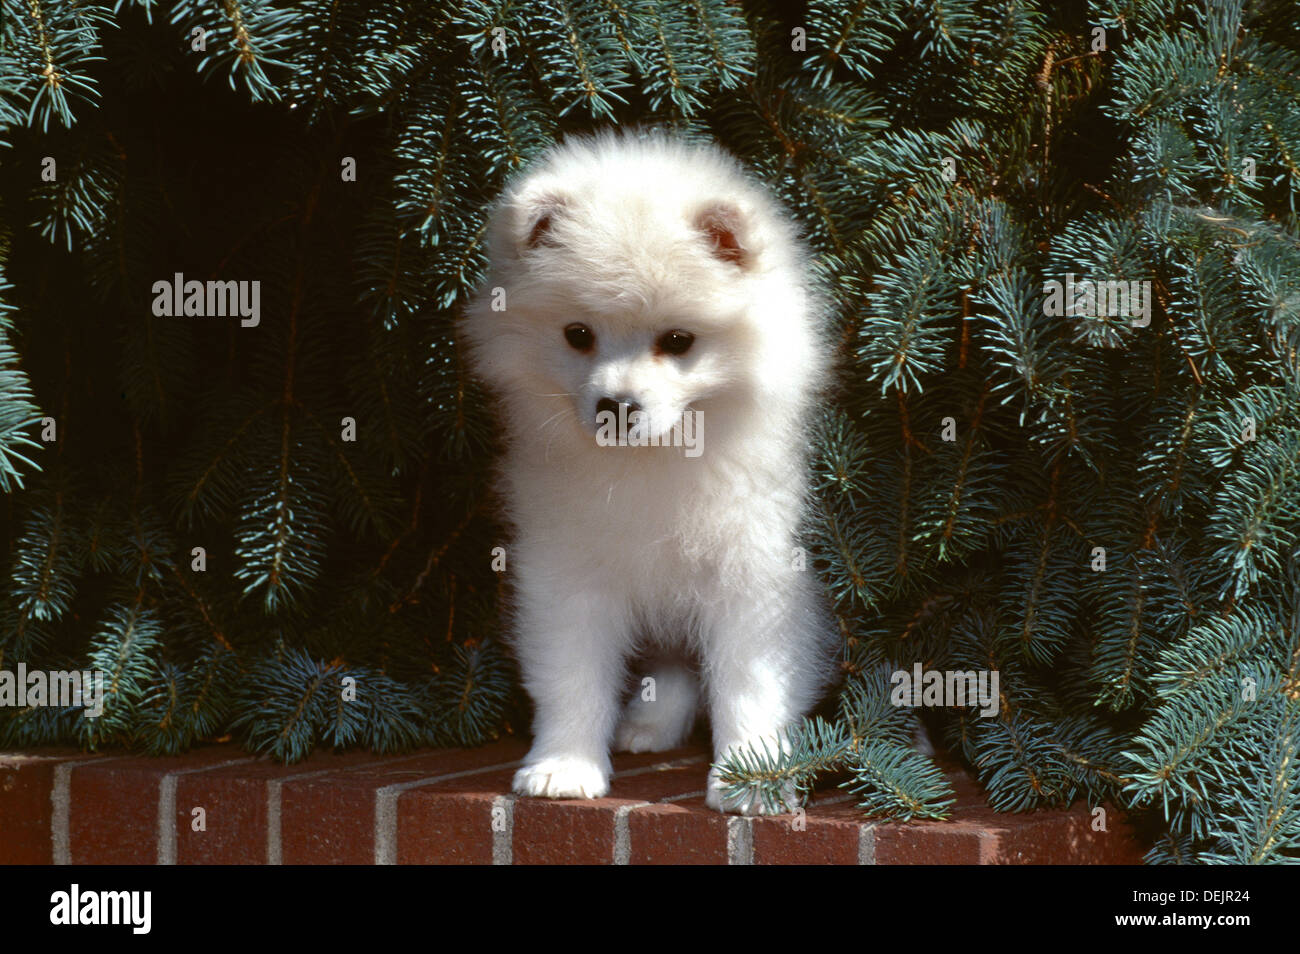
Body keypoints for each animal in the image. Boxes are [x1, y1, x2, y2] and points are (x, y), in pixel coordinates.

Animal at [462, 125, 837, 816]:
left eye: (679, 341)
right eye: (578, 333)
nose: (618, 405)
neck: (653, 463)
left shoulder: (754, 573)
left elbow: (748, 681)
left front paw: (751, 777)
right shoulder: (565, 569)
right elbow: (572, 675)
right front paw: (564, 765)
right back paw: (649, 724)